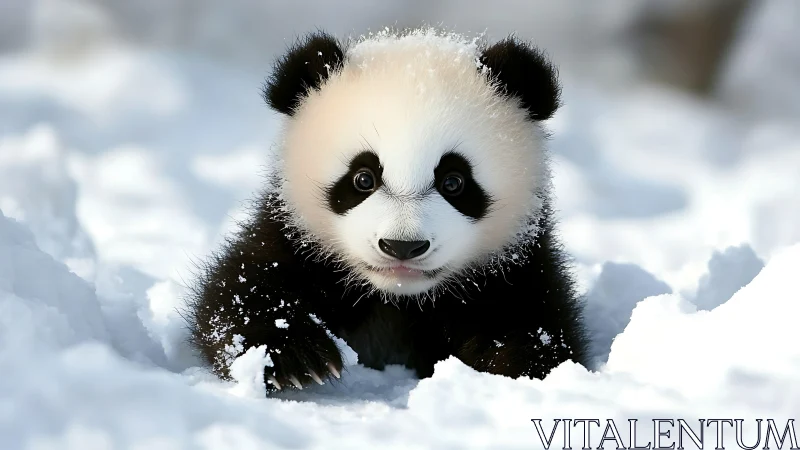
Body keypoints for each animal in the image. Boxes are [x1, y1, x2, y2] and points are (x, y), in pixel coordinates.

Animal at [186, 27, 589, 392]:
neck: (397, 297)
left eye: (454, 182)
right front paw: (294, 357)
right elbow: (239, 293)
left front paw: (517, 365)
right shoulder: (295, 236)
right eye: (363, 178)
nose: (402, 247)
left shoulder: (513, 265)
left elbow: (535, 324)